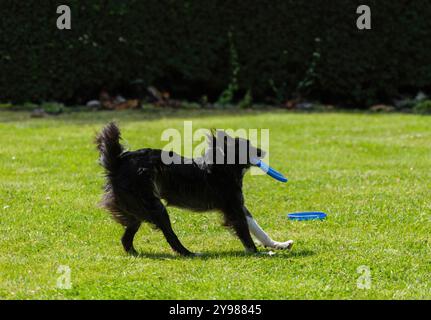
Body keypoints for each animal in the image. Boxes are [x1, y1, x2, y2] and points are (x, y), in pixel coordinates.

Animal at [96, 121, 296, 256]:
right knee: (171, 236)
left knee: (126, 238)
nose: (262, 151)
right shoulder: (234, 209)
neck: (224, 166)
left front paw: (278, 244)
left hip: (136, 211)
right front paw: (259, 253)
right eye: (248, 147)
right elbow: (245, 234)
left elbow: (258, 229)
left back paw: (135, 254)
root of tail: (117, 163)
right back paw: (190, 254)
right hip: (155, 207)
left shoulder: (240, 206)